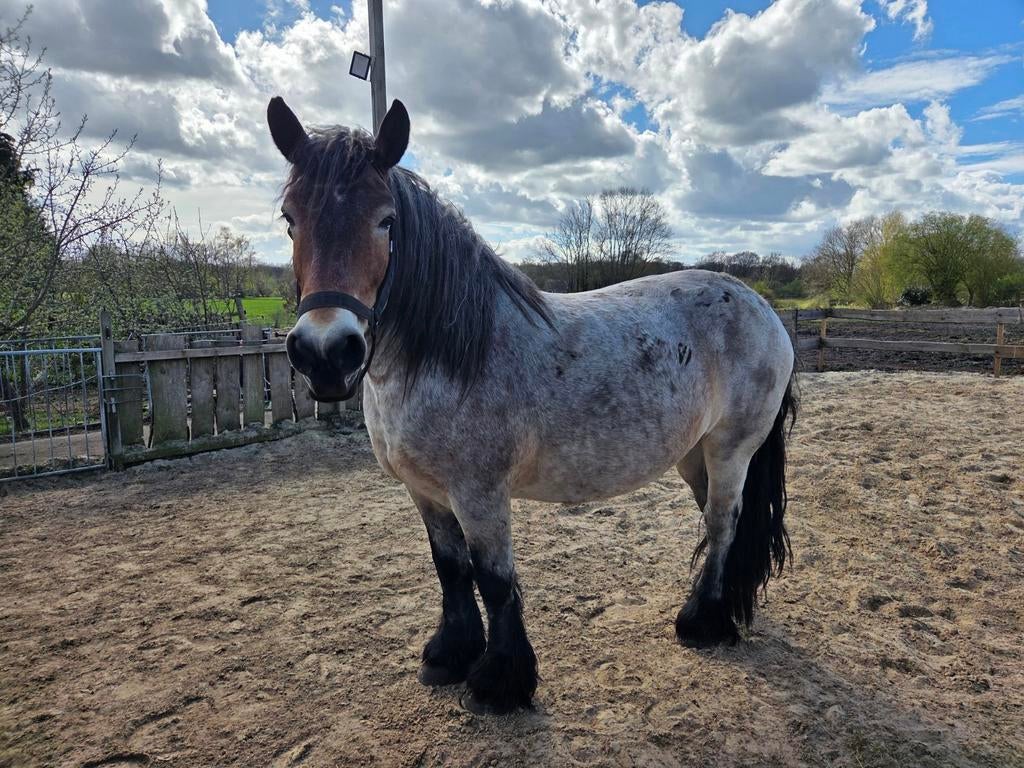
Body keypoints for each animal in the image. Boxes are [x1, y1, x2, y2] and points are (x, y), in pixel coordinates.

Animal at [267, 96, 797, 715]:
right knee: (716, 521)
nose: (326, 353)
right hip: (693, 453)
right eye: (290, 219)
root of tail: (762, 307)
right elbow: (450, 569)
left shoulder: (480, 493)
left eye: (386, 220)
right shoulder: (425, 492)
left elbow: (495, 579)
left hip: (731, 448)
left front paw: (500, 682)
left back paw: (701, 623)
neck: (451, 355)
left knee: (722, 520)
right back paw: (723, 611)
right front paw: (449, 655)